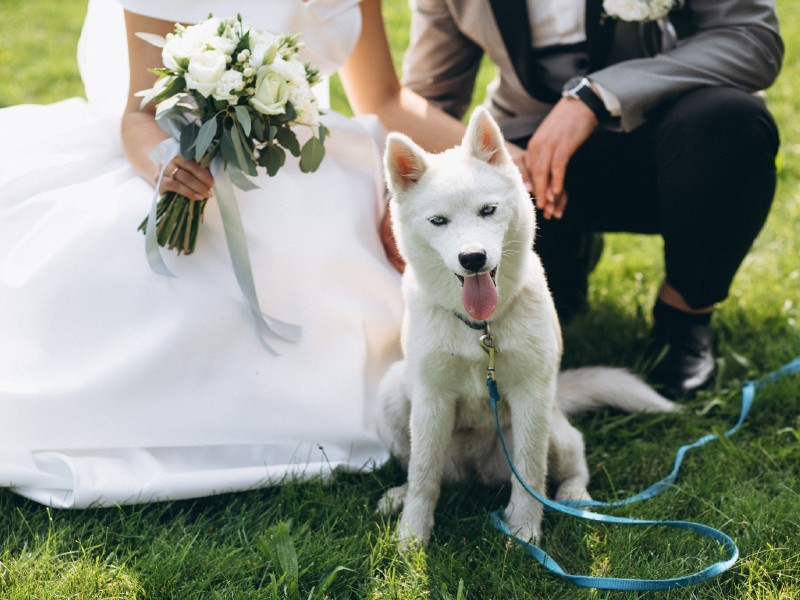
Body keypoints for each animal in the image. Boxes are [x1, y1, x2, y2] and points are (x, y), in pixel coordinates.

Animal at [378, 105, 680, 548]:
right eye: (438, 221)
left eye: (488, 210)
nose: (473, 258)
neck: (480, 330)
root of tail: (478, 474)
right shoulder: (431, 399)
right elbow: (423, 476)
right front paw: (412, 537)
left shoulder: (529, 397)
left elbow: (530, 475)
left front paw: (523, 530)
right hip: (395, 396)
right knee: (432, 472)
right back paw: (398, 496)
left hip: (553, 428)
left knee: (571, 465)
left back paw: (576, 499)